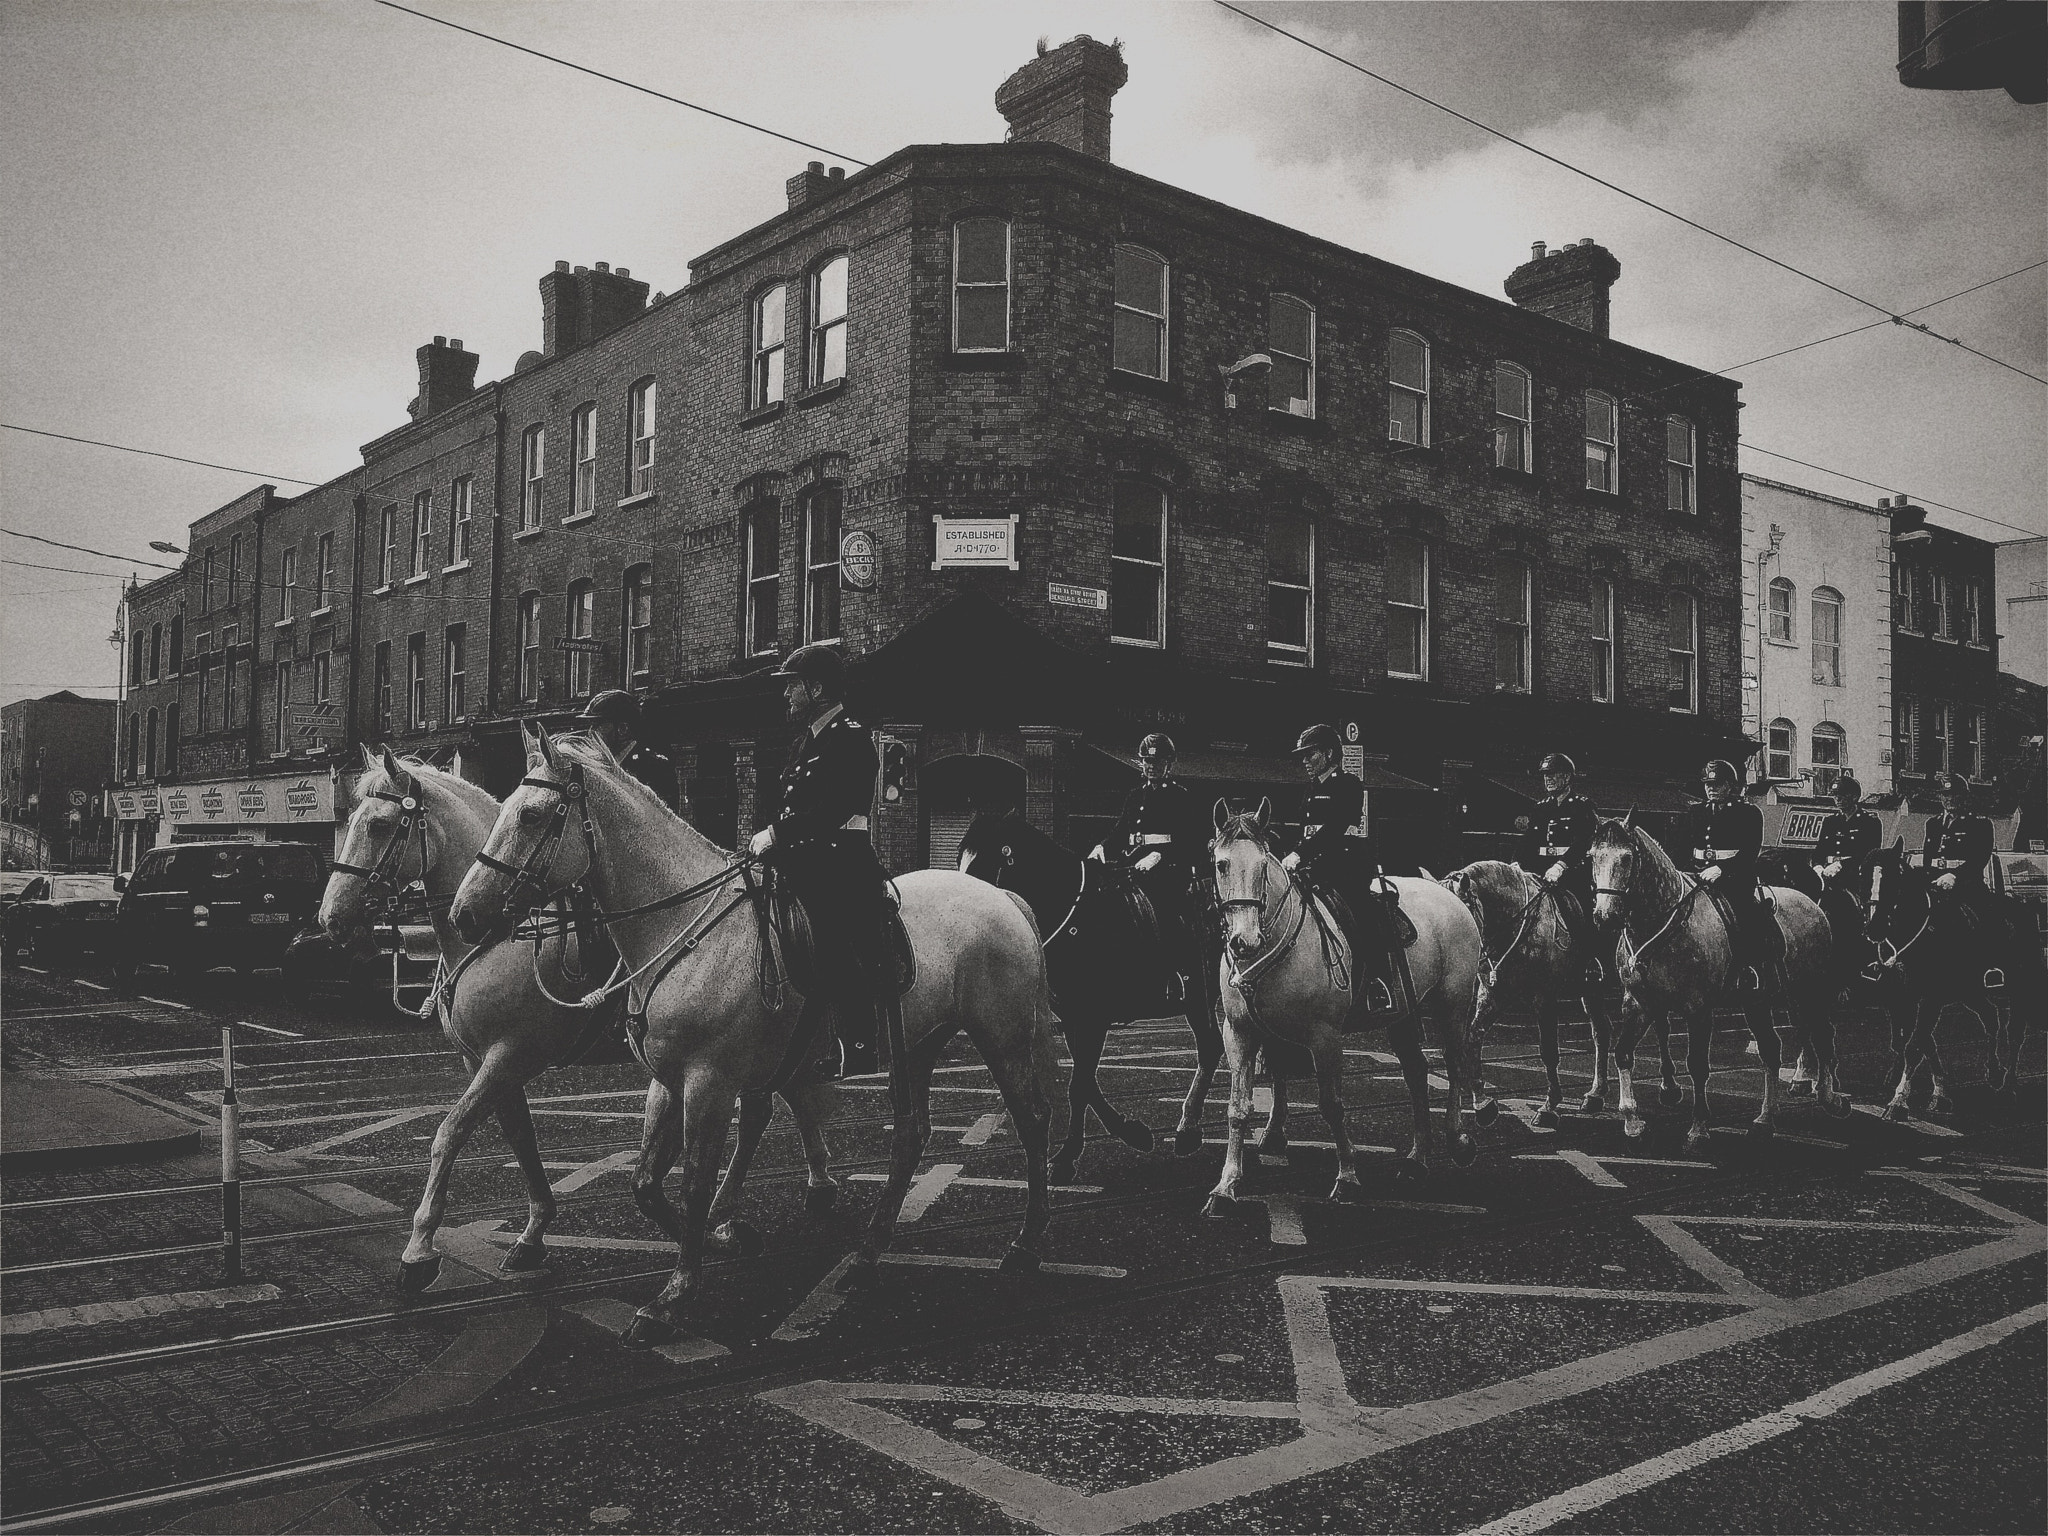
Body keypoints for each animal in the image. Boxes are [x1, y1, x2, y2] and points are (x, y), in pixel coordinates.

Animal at [319, 749, 831, 1302]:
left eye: (378, 824)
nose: (328, 918)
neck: (501, 938)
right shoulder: (485, 1061)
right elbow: (520, 1138)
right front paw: (533, 1232)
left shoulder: (509, 1056)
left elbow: (450, 1132)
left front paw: (419, 1251)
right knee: (779, 1102)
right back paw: (782, 1196)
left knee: (775, 1105)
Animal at [444, 729, 1056, 1343]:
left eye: (531, 814)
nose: (464, 914)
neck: (682, 928)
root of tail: (1000, 896)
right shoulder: (669, 1077)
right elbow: (646, 1182)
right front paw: (721, 1239)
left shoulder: (708, 1081)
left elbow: (692, 1181)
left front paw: (674, 1294)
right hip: (920, 1044)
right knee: (911, 1134)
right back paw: (866, 1253)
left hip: (1001, 1037)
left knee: (1029, 1121)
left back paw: (1026, 1244)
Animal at [1204, 798, 1482, 1220]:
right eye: (1221, 864)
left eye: (1263, 866)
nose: (1244, 942)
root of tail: (1446, 894)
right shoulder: (1240, 1032)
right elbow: (1237, 1108)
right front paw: (1226, 1186)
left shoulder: (1325, 1037)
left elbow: (1332, 1105)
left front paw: (1348, 1176)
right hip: (1402, 1015)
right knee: (1417, 1073)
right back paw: (1416, 1159)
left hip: (1452, 1004)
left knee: (1454, 1063)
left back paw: (1458, 1140)